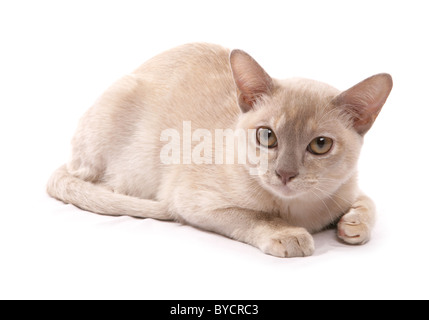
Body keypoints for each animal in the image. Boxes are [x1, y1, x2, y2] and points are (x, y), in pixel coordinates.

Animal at [46, 42, 392, 258]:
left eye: (320, 145)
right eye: (267, 136)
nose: (285, 173)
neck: (298, 210)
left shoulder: (348, 187)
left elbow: (369, 203)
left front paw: (354, 225)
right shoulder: (193, 202)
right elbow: (253, 216)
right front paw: (288, 234)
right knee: (94, 182)